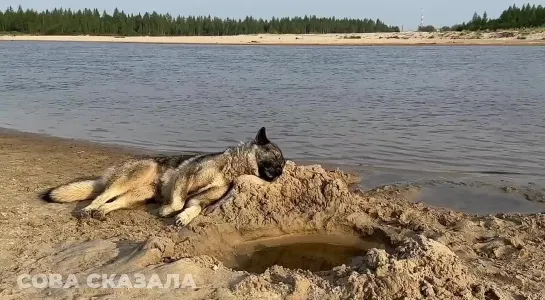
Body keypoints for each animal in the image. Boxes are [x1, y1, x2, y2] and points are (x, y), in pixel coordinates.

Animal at [42, 126, 284, 227]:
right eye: (276, 158)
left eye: (282, 164)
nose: (281, 173)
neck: (230, 167)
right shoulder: (184, 178)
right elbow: (177, 202)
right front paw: (168, 211)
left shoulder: (200, 199)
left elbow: (193, 208)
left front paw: (183, 218)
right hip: (132, 177)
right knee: (101, 196)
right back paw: (89, 209)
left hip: (138, 194)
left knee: (113, 203)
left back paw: (101, 213)